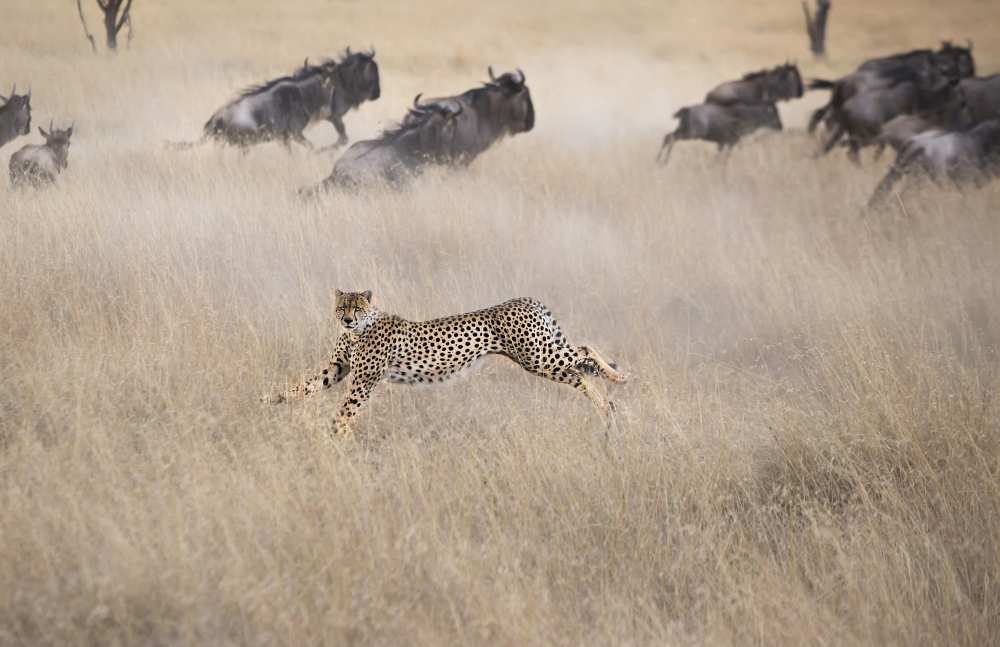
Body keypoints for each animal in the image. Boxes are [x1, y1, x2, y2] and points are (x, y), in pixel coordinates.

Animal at [266, 292, 624, 438]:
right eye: (343, 307)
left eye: (358, 307)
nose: (348, 319)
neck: (358, 331)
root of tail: (523, 299)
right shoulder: (338, 368)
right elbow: (308, 385)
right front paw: (273, 398)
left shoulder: (363, 380)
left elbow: (347, 410)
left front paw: (336, 433)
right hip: (542, 358)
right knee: (580, 373)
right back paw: (606, 407)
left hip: (537, 355)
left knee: (584, 352)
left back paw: (618, 378)